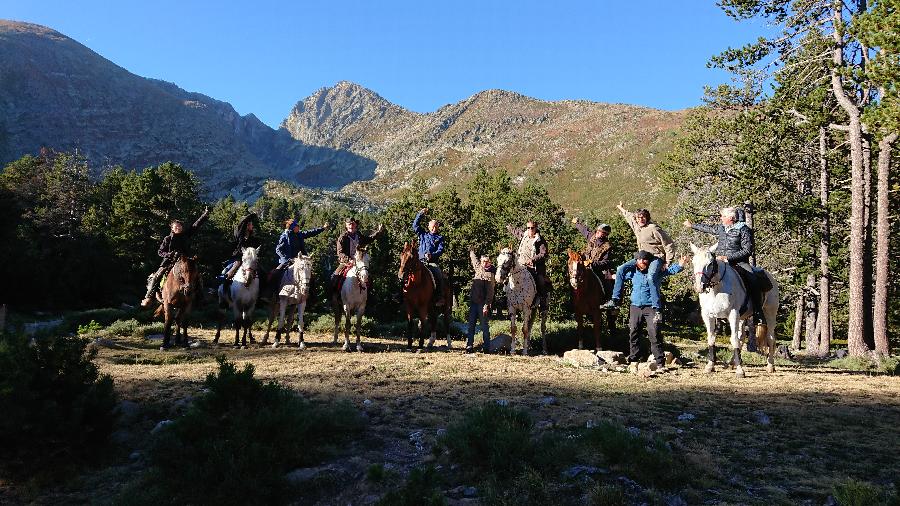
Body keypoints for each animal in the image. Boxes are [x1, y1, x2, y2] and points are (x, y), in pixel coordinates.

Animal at [688, 243, 780, 378]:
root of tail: (770, 278)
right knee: (742, 337)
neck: (717, 289)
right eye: (694, 262)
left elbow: (734, 340)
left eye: (710, 263)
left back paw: (770, 365)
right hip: (742, 318)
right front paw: (710, 366)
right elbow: (711, 338)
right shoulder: (708, 316)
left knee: (770, 338)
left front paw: (740, 370)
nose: (700, 287)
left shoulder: (733, 314)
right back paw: (732, 362)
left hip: (770, 313)